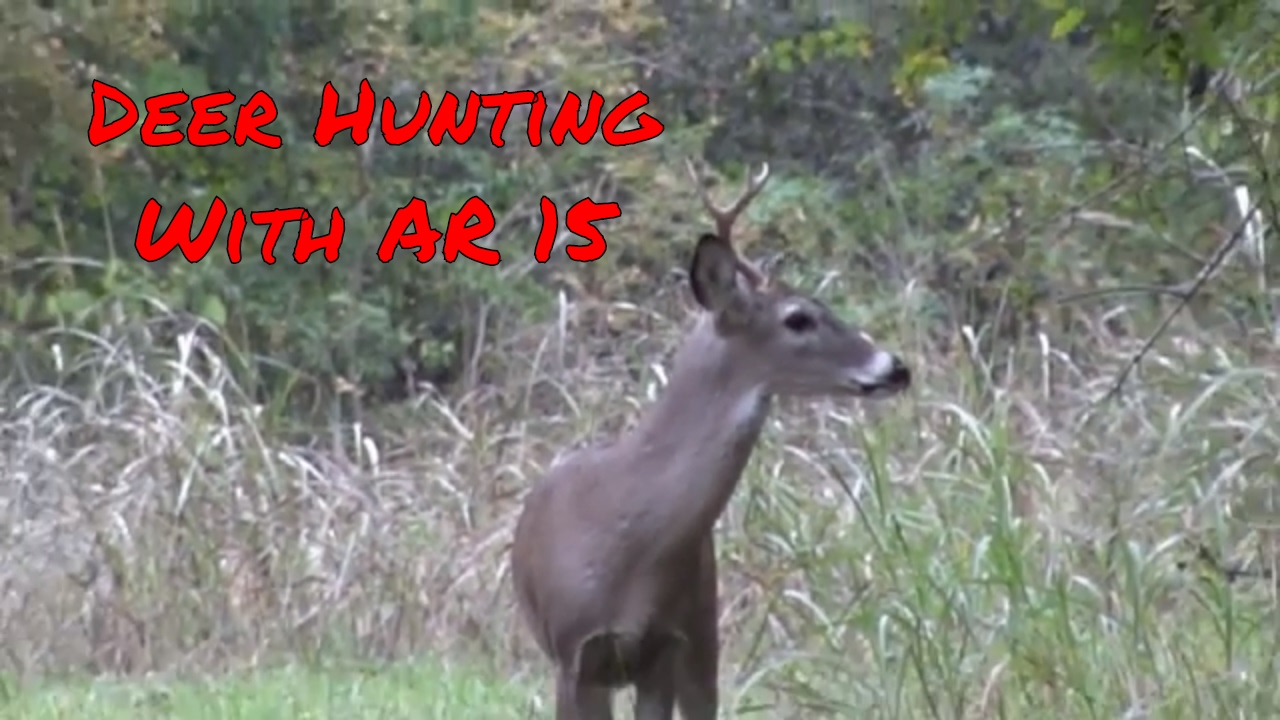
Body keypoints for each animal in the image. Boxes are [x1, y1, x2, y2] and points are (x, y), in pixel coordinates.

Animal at [510, 158, 912, 720]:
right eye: (799, 318)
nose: (896, 367)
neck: (628, 545)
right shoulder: (575, 651)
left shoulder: (666, 645)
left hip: (704, 629)